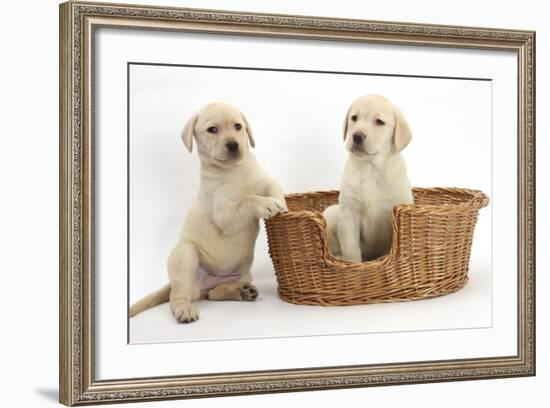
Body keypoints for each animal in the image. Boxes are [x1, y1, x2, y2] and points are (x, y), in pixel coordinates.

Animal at [324, 94, 414, 262]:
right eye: (354, 118)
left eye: (379, 122)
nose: (357, 136)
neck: (370, 167)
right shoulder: (349, 212)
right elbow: (351, 247)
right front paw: (353, 264)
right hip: (332, 213)